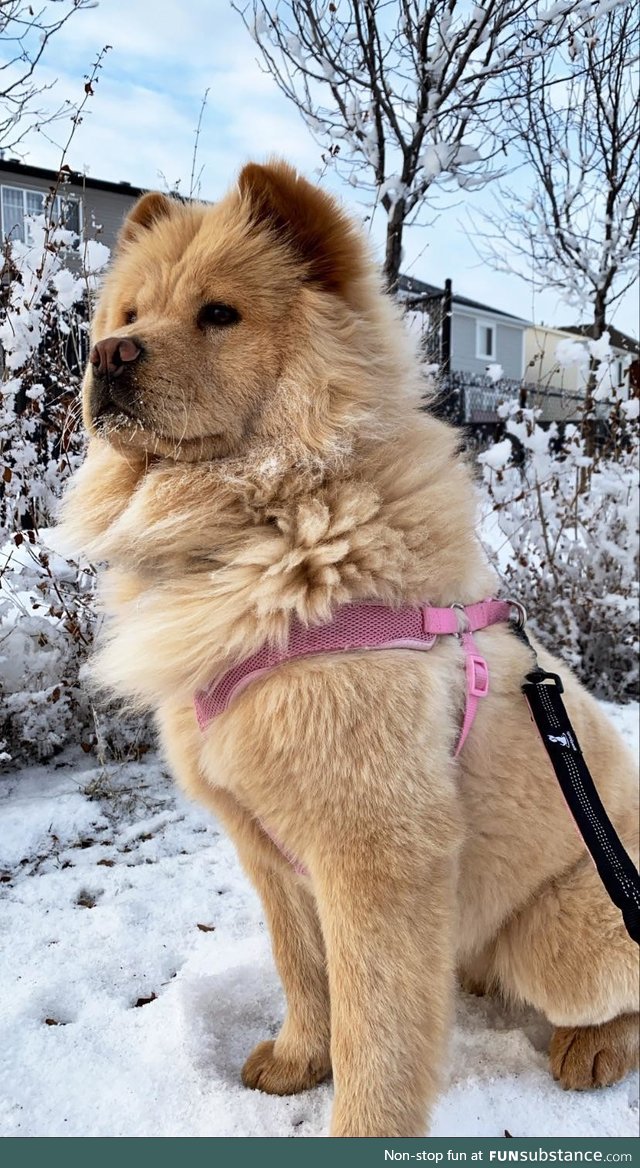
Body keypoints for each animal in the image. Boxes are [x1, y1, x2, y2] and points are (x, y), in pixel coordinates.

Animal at [57, 160, 635, 1135]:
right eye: (128, 316)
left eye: (219, 314)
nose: (108, 356)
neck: (263, 528)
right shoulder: (266, 847)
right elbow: (305, 972)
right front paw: (295, 1063)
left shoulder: (376, 854)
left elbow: (376, 1025)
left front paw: (361, 1122)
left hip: (568, 935)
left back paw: (590, 1049)